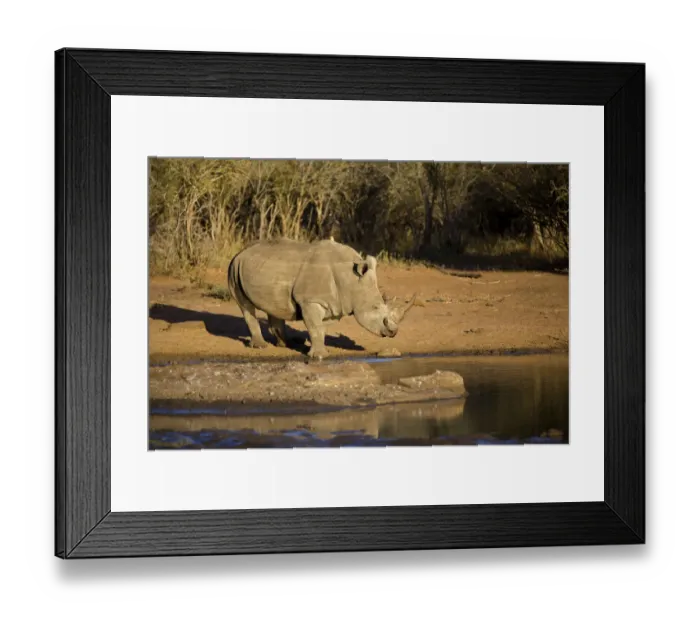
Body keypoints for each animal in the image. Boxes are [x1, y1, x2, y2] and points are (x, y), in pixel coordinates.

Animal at [227, 238, 416, 360]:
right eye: (375, 307)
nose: (393, 332)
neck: (350, 281)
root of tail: (240, 251)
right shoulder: (310, 301)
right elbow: (315, 327)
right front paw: (319, 356)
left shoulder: (332, 303)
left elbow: (320, 329)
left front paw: (317, 351)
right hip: (234, 268)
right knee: (246, 307)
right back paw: (260, 346)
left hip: (263, 269)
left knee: (274, 306)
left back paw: (287, 344)